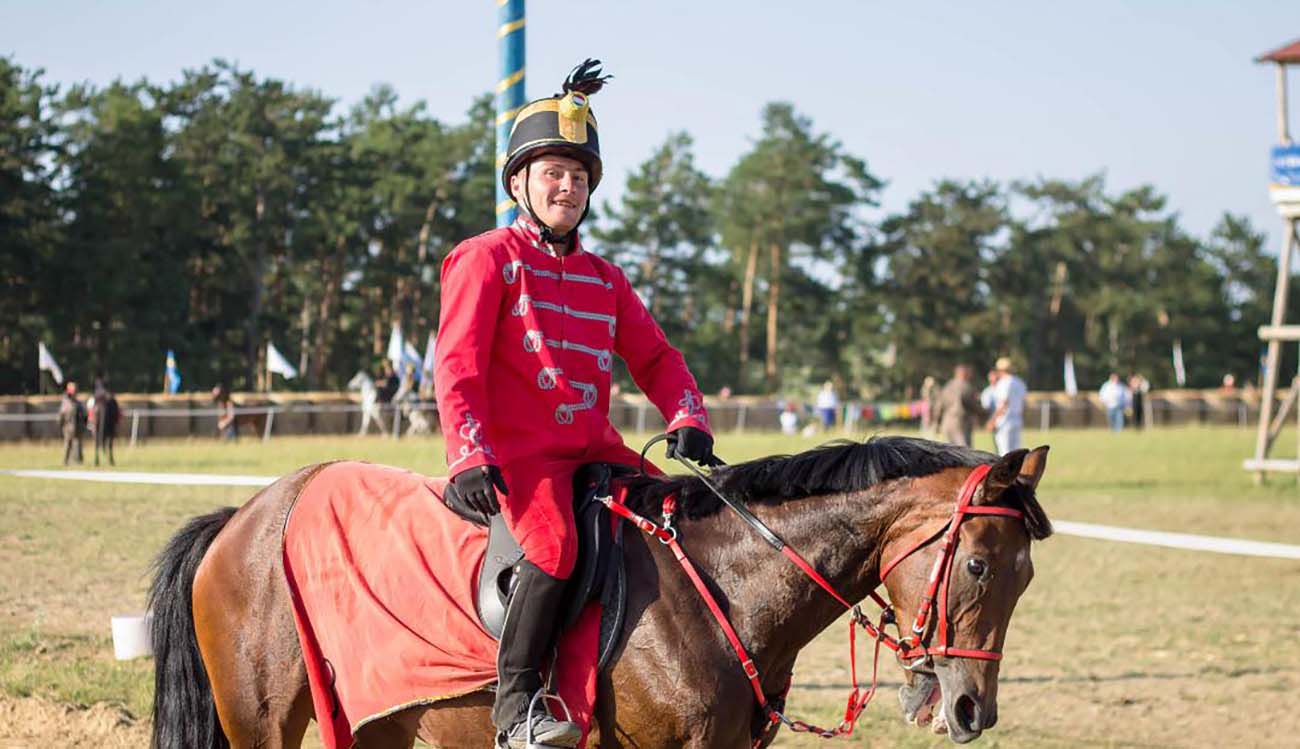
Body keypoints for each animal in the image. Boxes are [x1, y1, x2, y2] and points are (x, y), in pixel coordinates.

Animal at [147, 436, 1050, 743]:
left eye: (1027, 574)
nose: (972, 707)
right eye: (978, 564)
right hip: (263, 723)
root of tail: (246, 515)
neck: (722, 580)